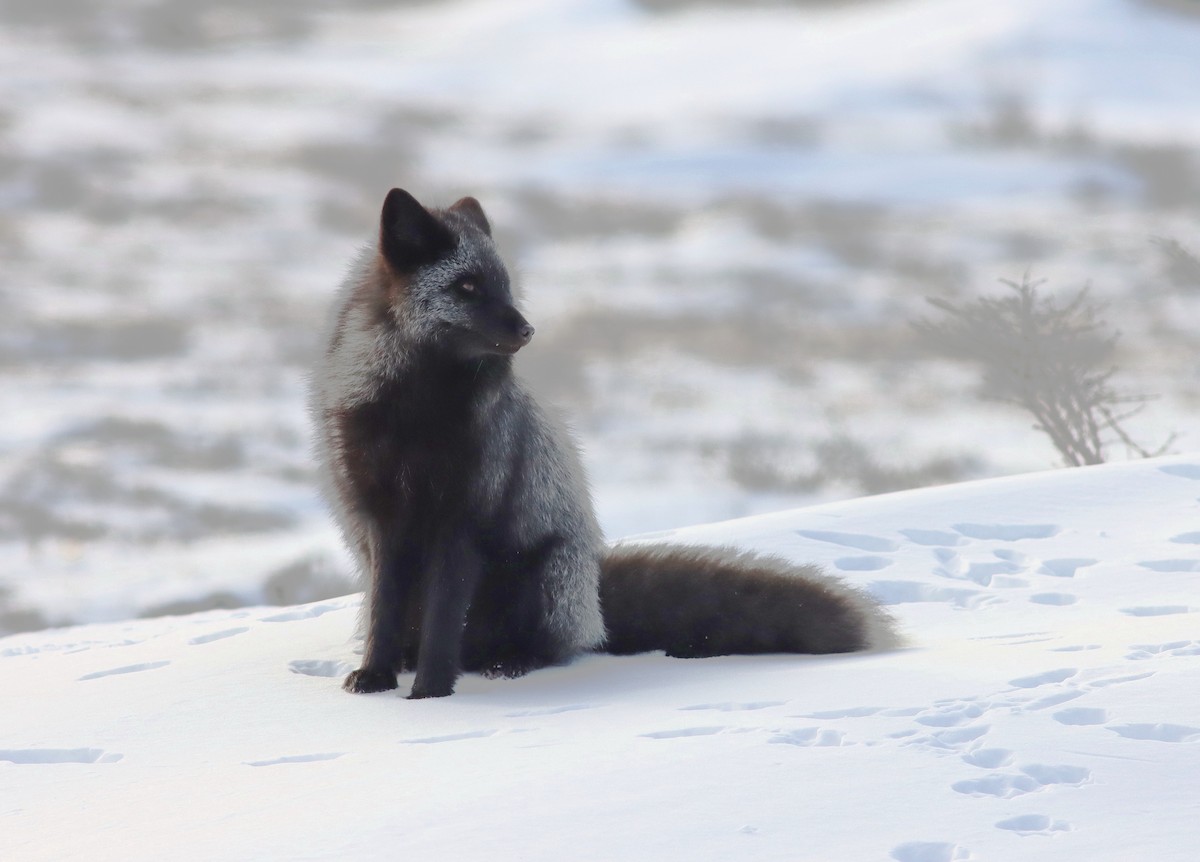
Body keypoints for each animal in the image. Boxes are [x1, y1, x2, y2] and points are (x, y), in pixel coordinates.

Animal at [310, 188, 898, 698]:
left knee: (544, 649)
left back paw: (509, 663)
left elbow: (442, 624)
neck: (417, 415)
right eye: (467, 287)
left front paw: (430, 695)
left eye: (504, 284)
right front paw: (378, 679)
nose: (527, 330)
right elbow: (385, 617)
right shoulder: (383, 521)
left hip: (544, 581)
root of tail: (595, 590)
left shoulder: (462, 519)